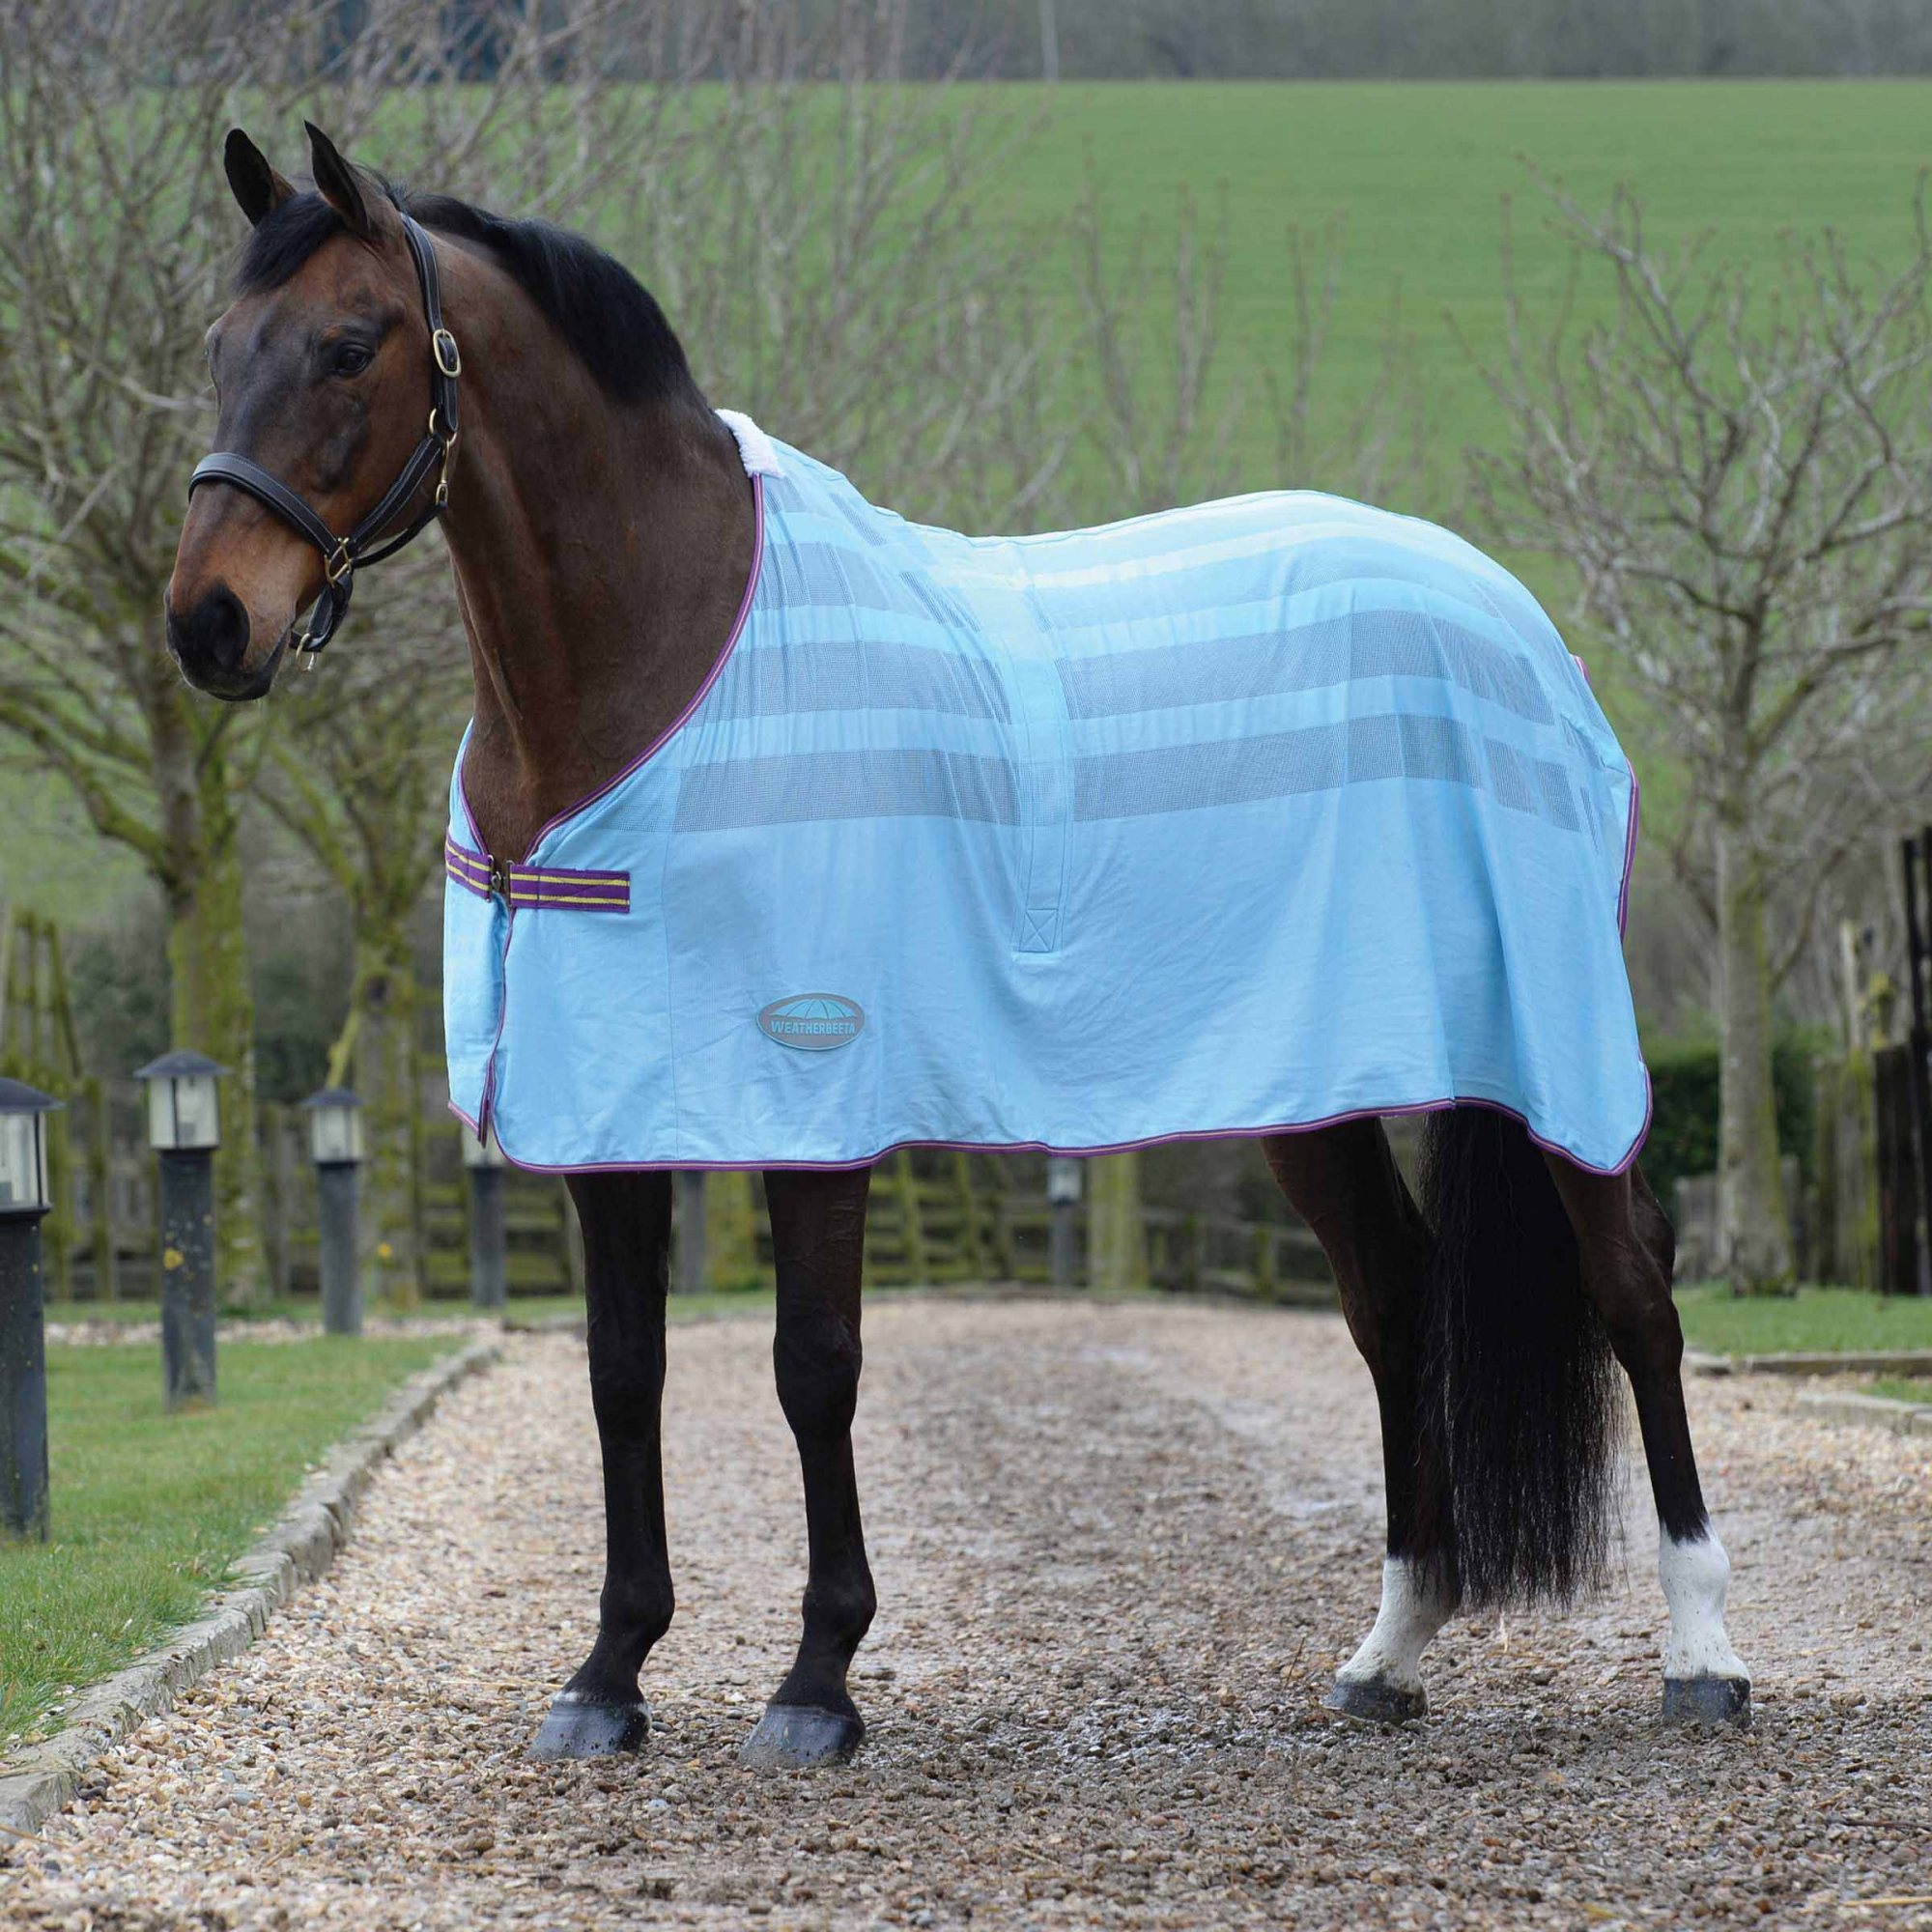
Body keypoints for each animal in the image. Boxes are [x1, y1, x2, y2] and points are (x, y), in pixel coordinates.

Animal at [166, 124, 1752, 1768]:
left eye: (351, 344)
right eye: (220, 344)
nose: (207, 623)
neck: (661, 657)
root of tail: (1511, 617)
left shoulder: (812, 1093)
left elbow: (813, 1368)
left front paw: (816, 1684)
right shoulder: (605, 1107)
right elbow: (623, 1375)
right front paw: (608, 1675)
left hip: (1550, 1046)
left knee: (1633, 1287)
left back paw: (1700, 1653)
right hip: (1316, 1077)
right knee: (1392, 1302)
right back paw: (1389, 1650)